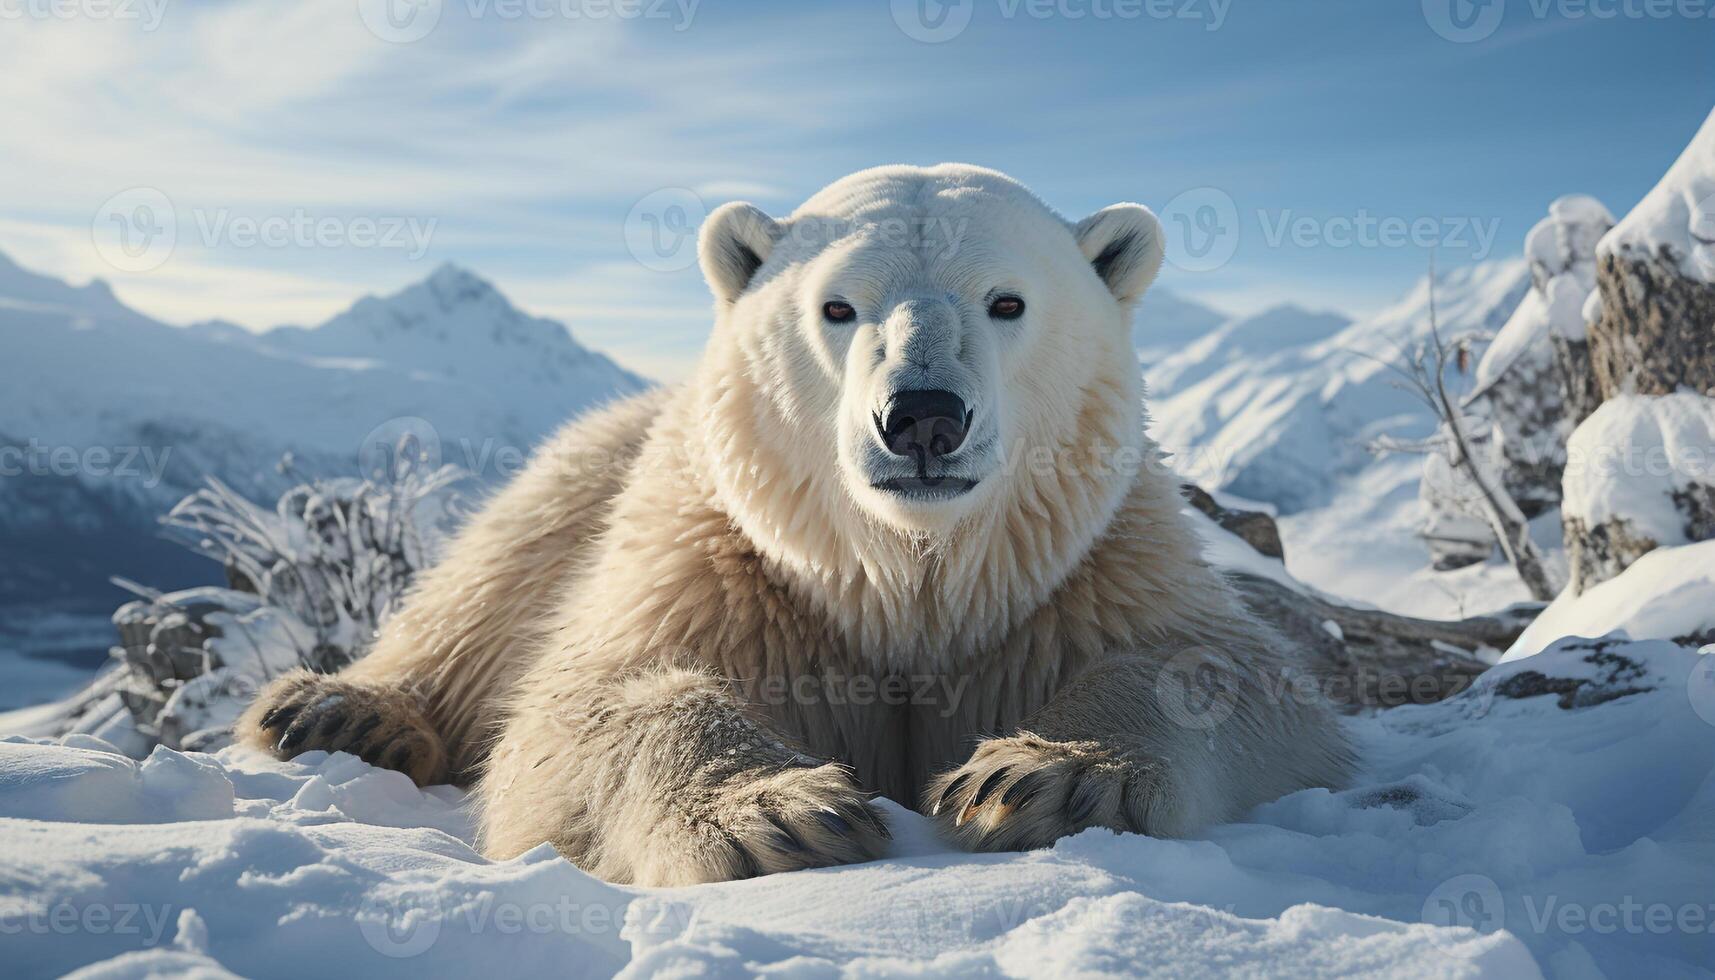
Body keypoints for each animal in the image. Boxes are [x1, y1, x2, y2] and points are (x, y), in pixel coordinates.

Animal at [238, 164, 1351, 885]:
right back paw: (336, 710)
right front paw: (781, 815)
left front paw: (1044, 774)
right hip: (591, 468)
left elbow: (1208, 666)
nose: (922, 416)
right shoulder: (728, 564)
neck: (910, 579)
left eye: (1006, 301)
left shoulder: (1086, 567)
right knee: (493, 574)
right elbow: (597, 695)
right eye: (836, 307)